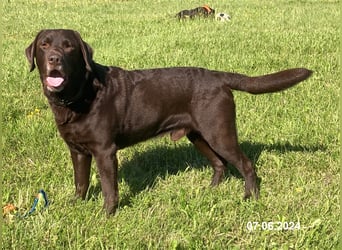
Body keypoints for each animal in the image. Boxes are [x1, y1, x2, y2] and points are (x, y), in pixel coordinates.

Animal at [24, 29, 312, 215]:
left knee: (246, 164)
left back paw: (250, 197)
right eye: (44, 46)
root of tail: (218, 76)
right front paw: (76, 205)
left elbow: (108, 188)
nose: (55, 59)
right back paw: (211, 191)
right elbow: (80, 182)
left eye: (69, 46)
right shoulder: (78, 151)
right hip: (199, 135)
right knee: (220, 164)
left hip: (219, 132)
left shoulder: (105, 152)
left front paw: (106, 214)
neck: (80, 94)